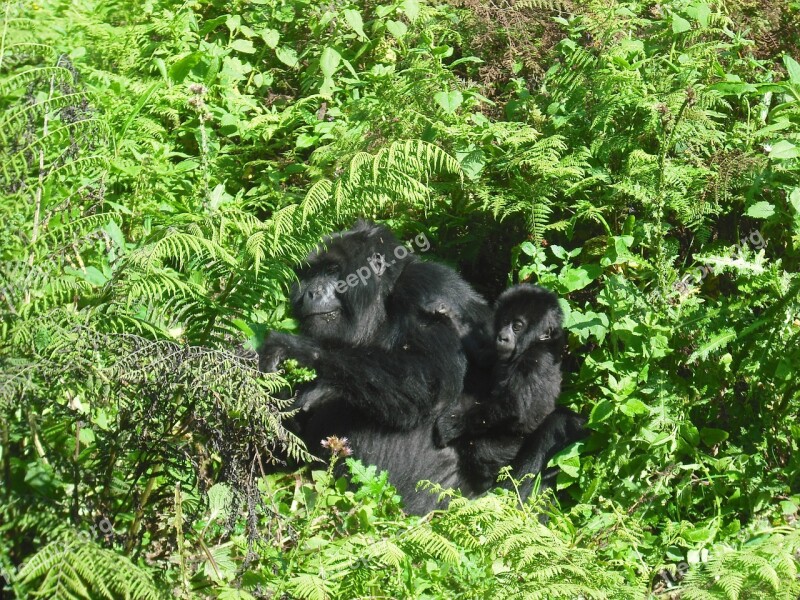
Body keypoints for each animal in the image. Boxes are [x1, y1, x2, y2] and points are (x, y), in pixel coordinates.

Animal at [434, 284, 564, 490]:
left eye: (517, 326)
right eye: (503, 322)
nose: (502, 337)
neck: (536, 343)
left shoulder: (536, 360)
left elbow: (514, 407)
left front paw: (452, 424)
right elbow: (483, 357)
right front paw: (450, 317)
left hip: (516, 444)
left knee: (481, 450)